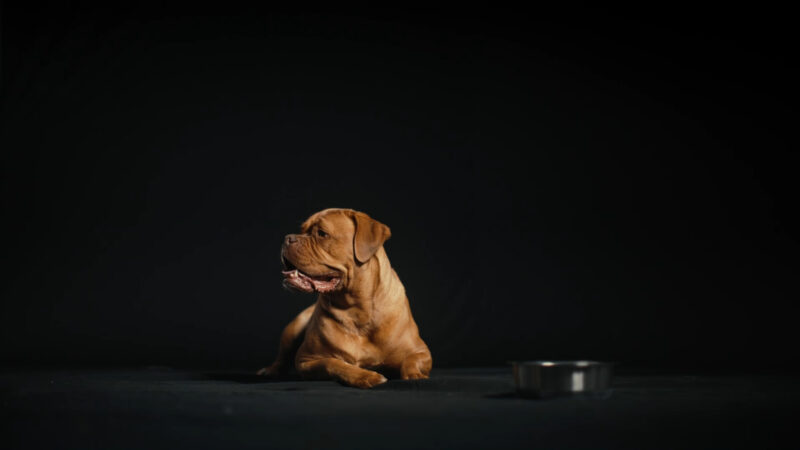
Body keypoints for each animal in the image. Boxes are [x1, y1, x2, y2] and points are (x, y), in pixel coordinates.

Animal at [256, 207, 432, 386]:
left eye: (322, 234)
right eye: (302, 230)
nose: (288, 238)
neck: (357, 310)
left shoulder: (422, 351)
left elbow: (411, 360)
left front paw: (414, 375)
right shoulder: (306, 359)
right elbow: (333, 363)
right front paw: (366, 376)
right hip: (293, 327)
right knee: (282, 357)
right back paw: (270, 370)